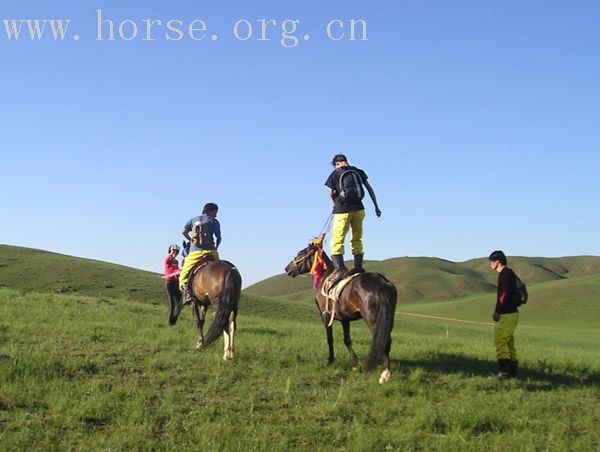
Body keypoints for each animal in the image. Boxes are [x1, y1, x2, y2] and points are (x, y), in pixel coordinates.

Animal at [284, 238, 396, 384]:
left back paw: (385, 374)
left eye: (300, 253)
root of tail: (382, 282)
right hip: (388, 319)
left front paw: (330, 360)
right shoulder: (345, 319)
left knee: (384, 340)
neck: (324, 277)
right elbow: (347, 339)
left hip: (373, 319)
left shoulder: (325, 316)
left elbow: (330, 338)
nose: (287, 268)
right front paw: (354, 362)